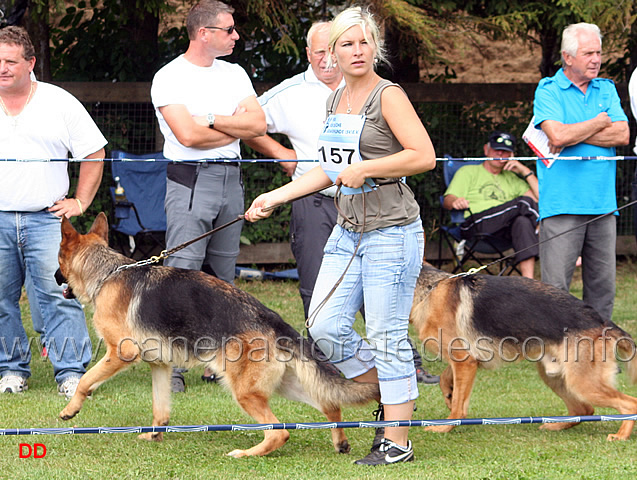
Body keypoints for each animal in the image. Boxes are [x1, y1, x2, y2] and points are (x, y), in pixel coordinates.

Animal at [56, 214, 378, 458]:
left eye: (58, 261)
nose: (56, 279)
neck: (108, 273)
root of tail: (271, 319)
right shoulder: (160, 365)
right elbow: (160, 407)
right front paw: (154, 435)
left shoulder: (121, 353)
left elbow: (85, 380)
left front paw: (71, 409)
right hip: (282, 386)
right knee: (330, 403)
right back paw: (340, 441)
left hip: (244, 391)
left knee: (280, 432)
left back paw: (247, 454)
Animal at [408, 264, 636, 440]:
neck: (427, 292)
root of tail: (603, 321)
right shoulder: (467, 362)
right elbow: (446, 379)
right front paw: (448, 393)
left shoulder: (464, 361)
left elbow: (458, 406)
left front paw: (445, 426)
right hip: (556, 377)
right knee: (585, 410)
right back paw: (555, 425)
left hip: (582, 383)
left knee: (629, 404)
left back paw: (621, 435)